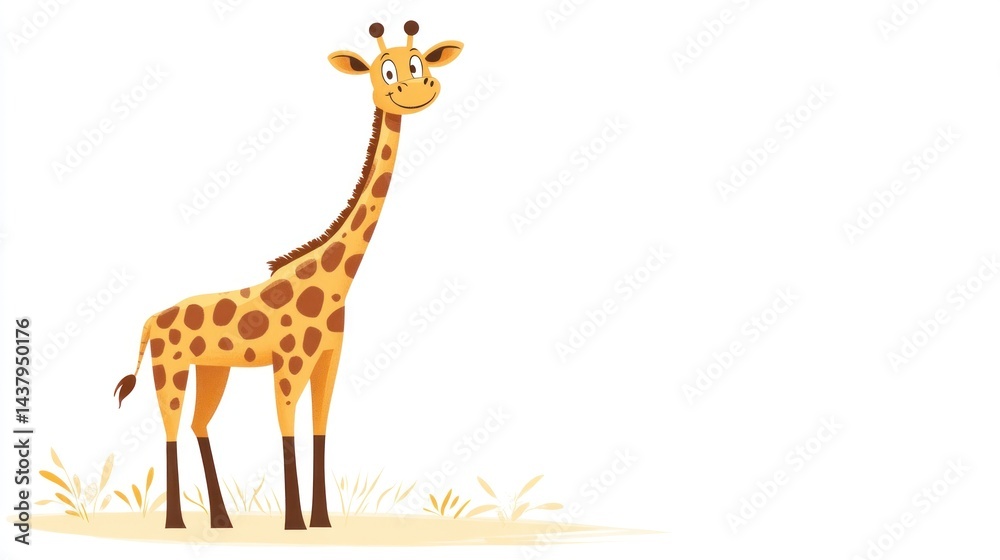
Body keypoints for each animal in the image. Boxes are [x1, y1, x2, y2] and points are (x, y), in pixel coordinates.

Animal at [113, 20, 462, 531]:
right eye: (387, 69)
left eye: (419, 63)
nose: (418, 91)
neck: (337, 284)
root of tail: (149, 322)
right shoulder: (289, 362)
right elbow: (287, 430)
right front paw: (296, 521)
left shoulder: (329, 360)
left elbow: (319, 429)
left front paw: (322, 521)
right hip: (169, 368)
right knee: (171, 427)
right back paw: (176, 521)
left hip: (213, 370)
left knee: (199, 423)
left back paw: (222, 519)